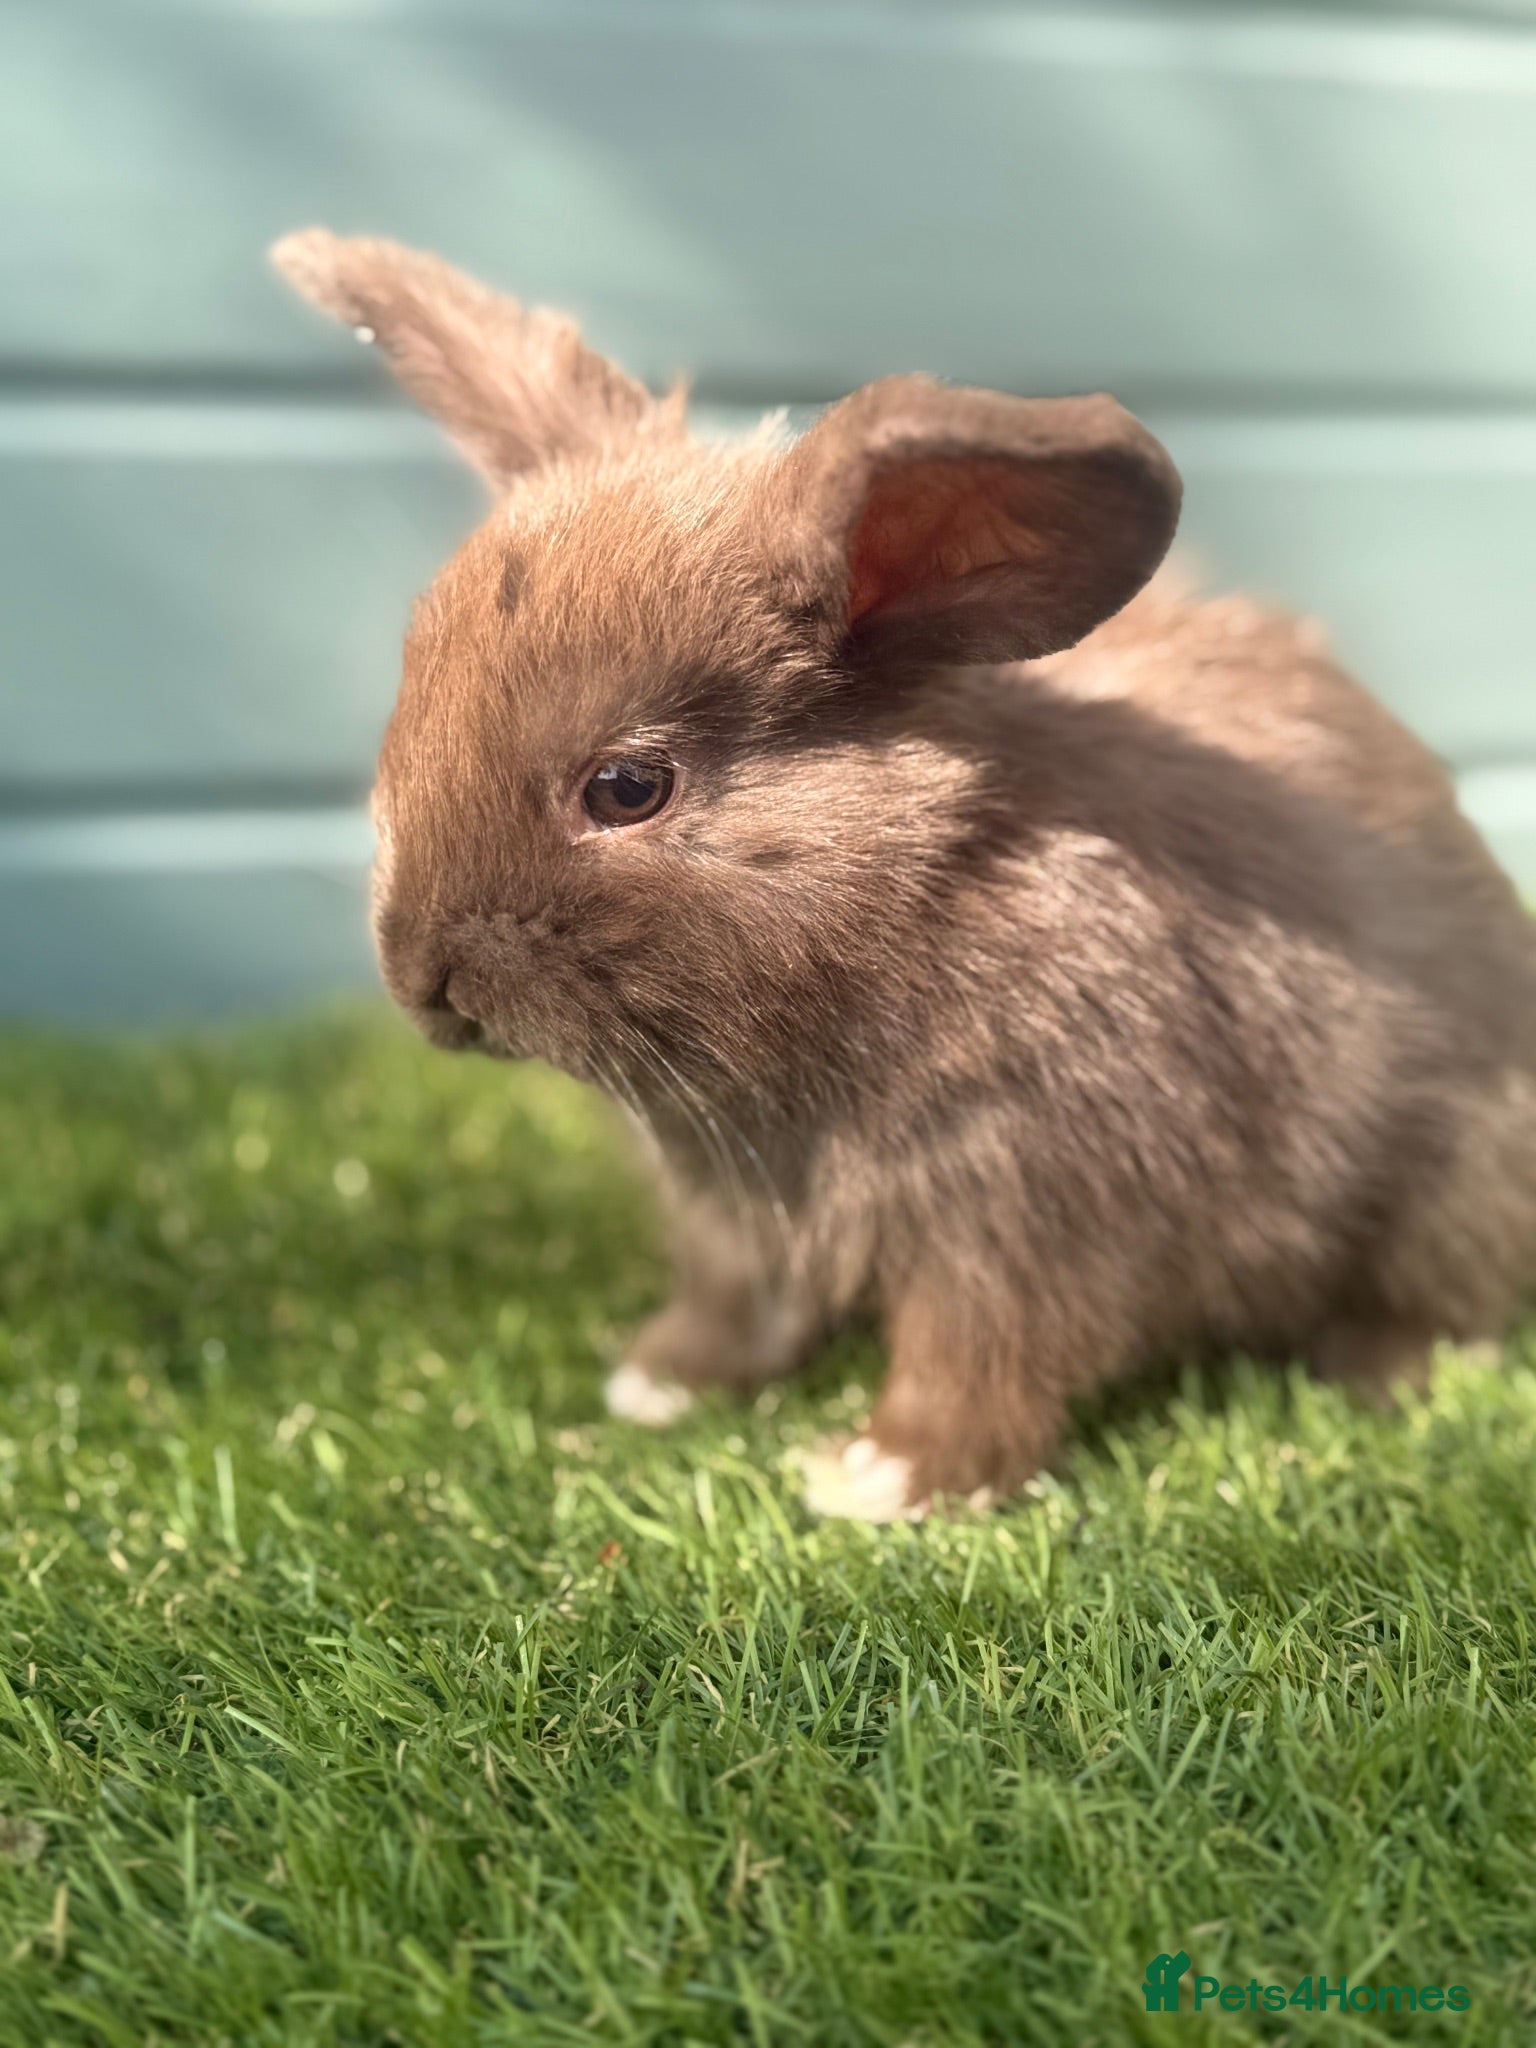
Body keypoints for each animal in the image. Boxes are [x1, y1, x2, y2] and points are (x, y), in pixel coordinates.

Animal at [272, 229, 1536, 1521]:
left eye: (627, 786)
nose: (422, 980)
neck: (913, 909)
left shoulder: (1027, 1213)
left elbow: (982, 1357)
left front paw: (881, 1477)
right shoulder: (735, 1222)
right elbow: (735, 1308)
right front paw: (658, 1382)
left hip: (1453, 1183)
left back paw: (1379, 1370)